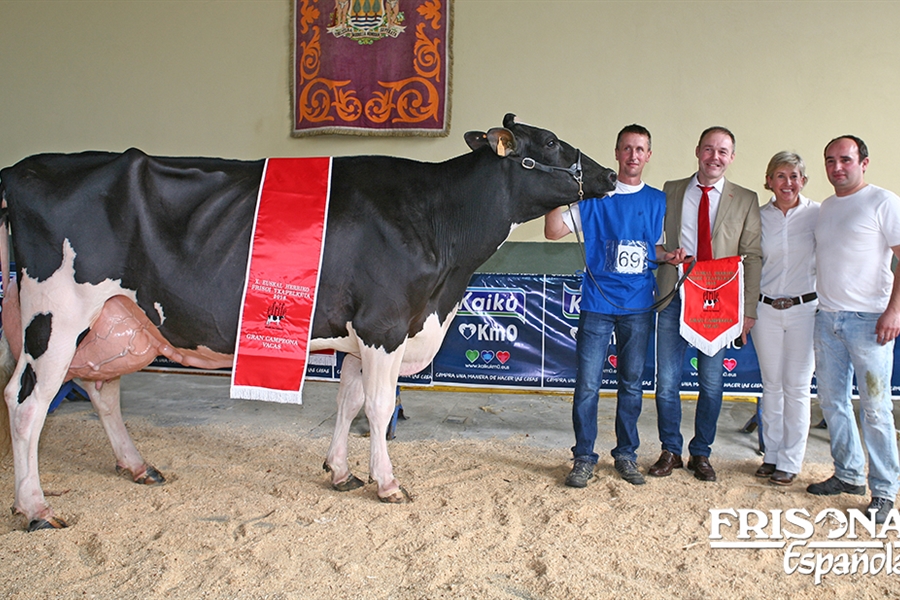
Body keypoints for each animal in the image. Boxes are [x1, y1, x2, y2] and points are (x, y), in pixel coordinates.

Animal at [0, 113, 620, 528]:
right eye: (549, 142)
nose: (611, 175)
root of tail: (24, 168)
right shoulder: (384, 324)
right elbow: (378, 407)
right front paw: (387, 484)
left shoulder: (359, 334)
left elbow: (348, 403)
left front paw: (341, 472)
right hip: (55, 314)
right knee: (27, 399)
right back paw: (35, 508)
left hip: (114, 319)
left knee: (100, 389)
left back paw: (138, 466)